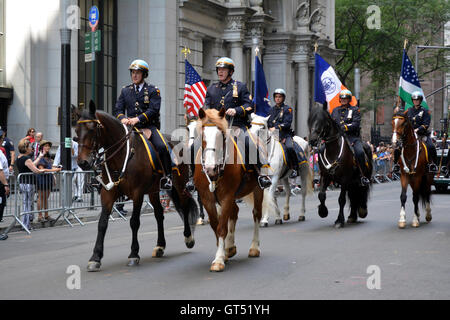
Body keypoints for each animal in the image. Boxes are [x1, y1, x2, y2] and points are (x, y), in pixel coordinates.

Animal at [76, 100, 199, 270]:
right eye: (76, 131)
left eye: (92, 129)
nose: (83, 163)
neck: (123, 155)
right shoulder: (108, 194)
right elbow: (102, 223)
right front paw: (95, 257)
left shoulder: (137, 193)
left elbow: (134, 222)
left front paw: (134, 254)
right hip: (154, 190)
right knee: (159, 214)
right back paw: (160, 246)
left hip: (179, 185)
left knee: (185, 207)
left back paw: (188, 237)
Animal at [193, 108, 264, 272]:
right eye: (203, 135)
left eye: (221, 135)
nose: (210, 168)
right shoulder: (207, 198)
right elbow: (216, 225)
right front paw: (223, 253)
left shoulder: (227, 196)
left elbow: (221, 227)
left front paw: (219, 260)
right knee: (235, 212)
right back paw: (230, 248)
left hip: (258, 189)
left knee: (256, 214)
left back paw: (254, 248)